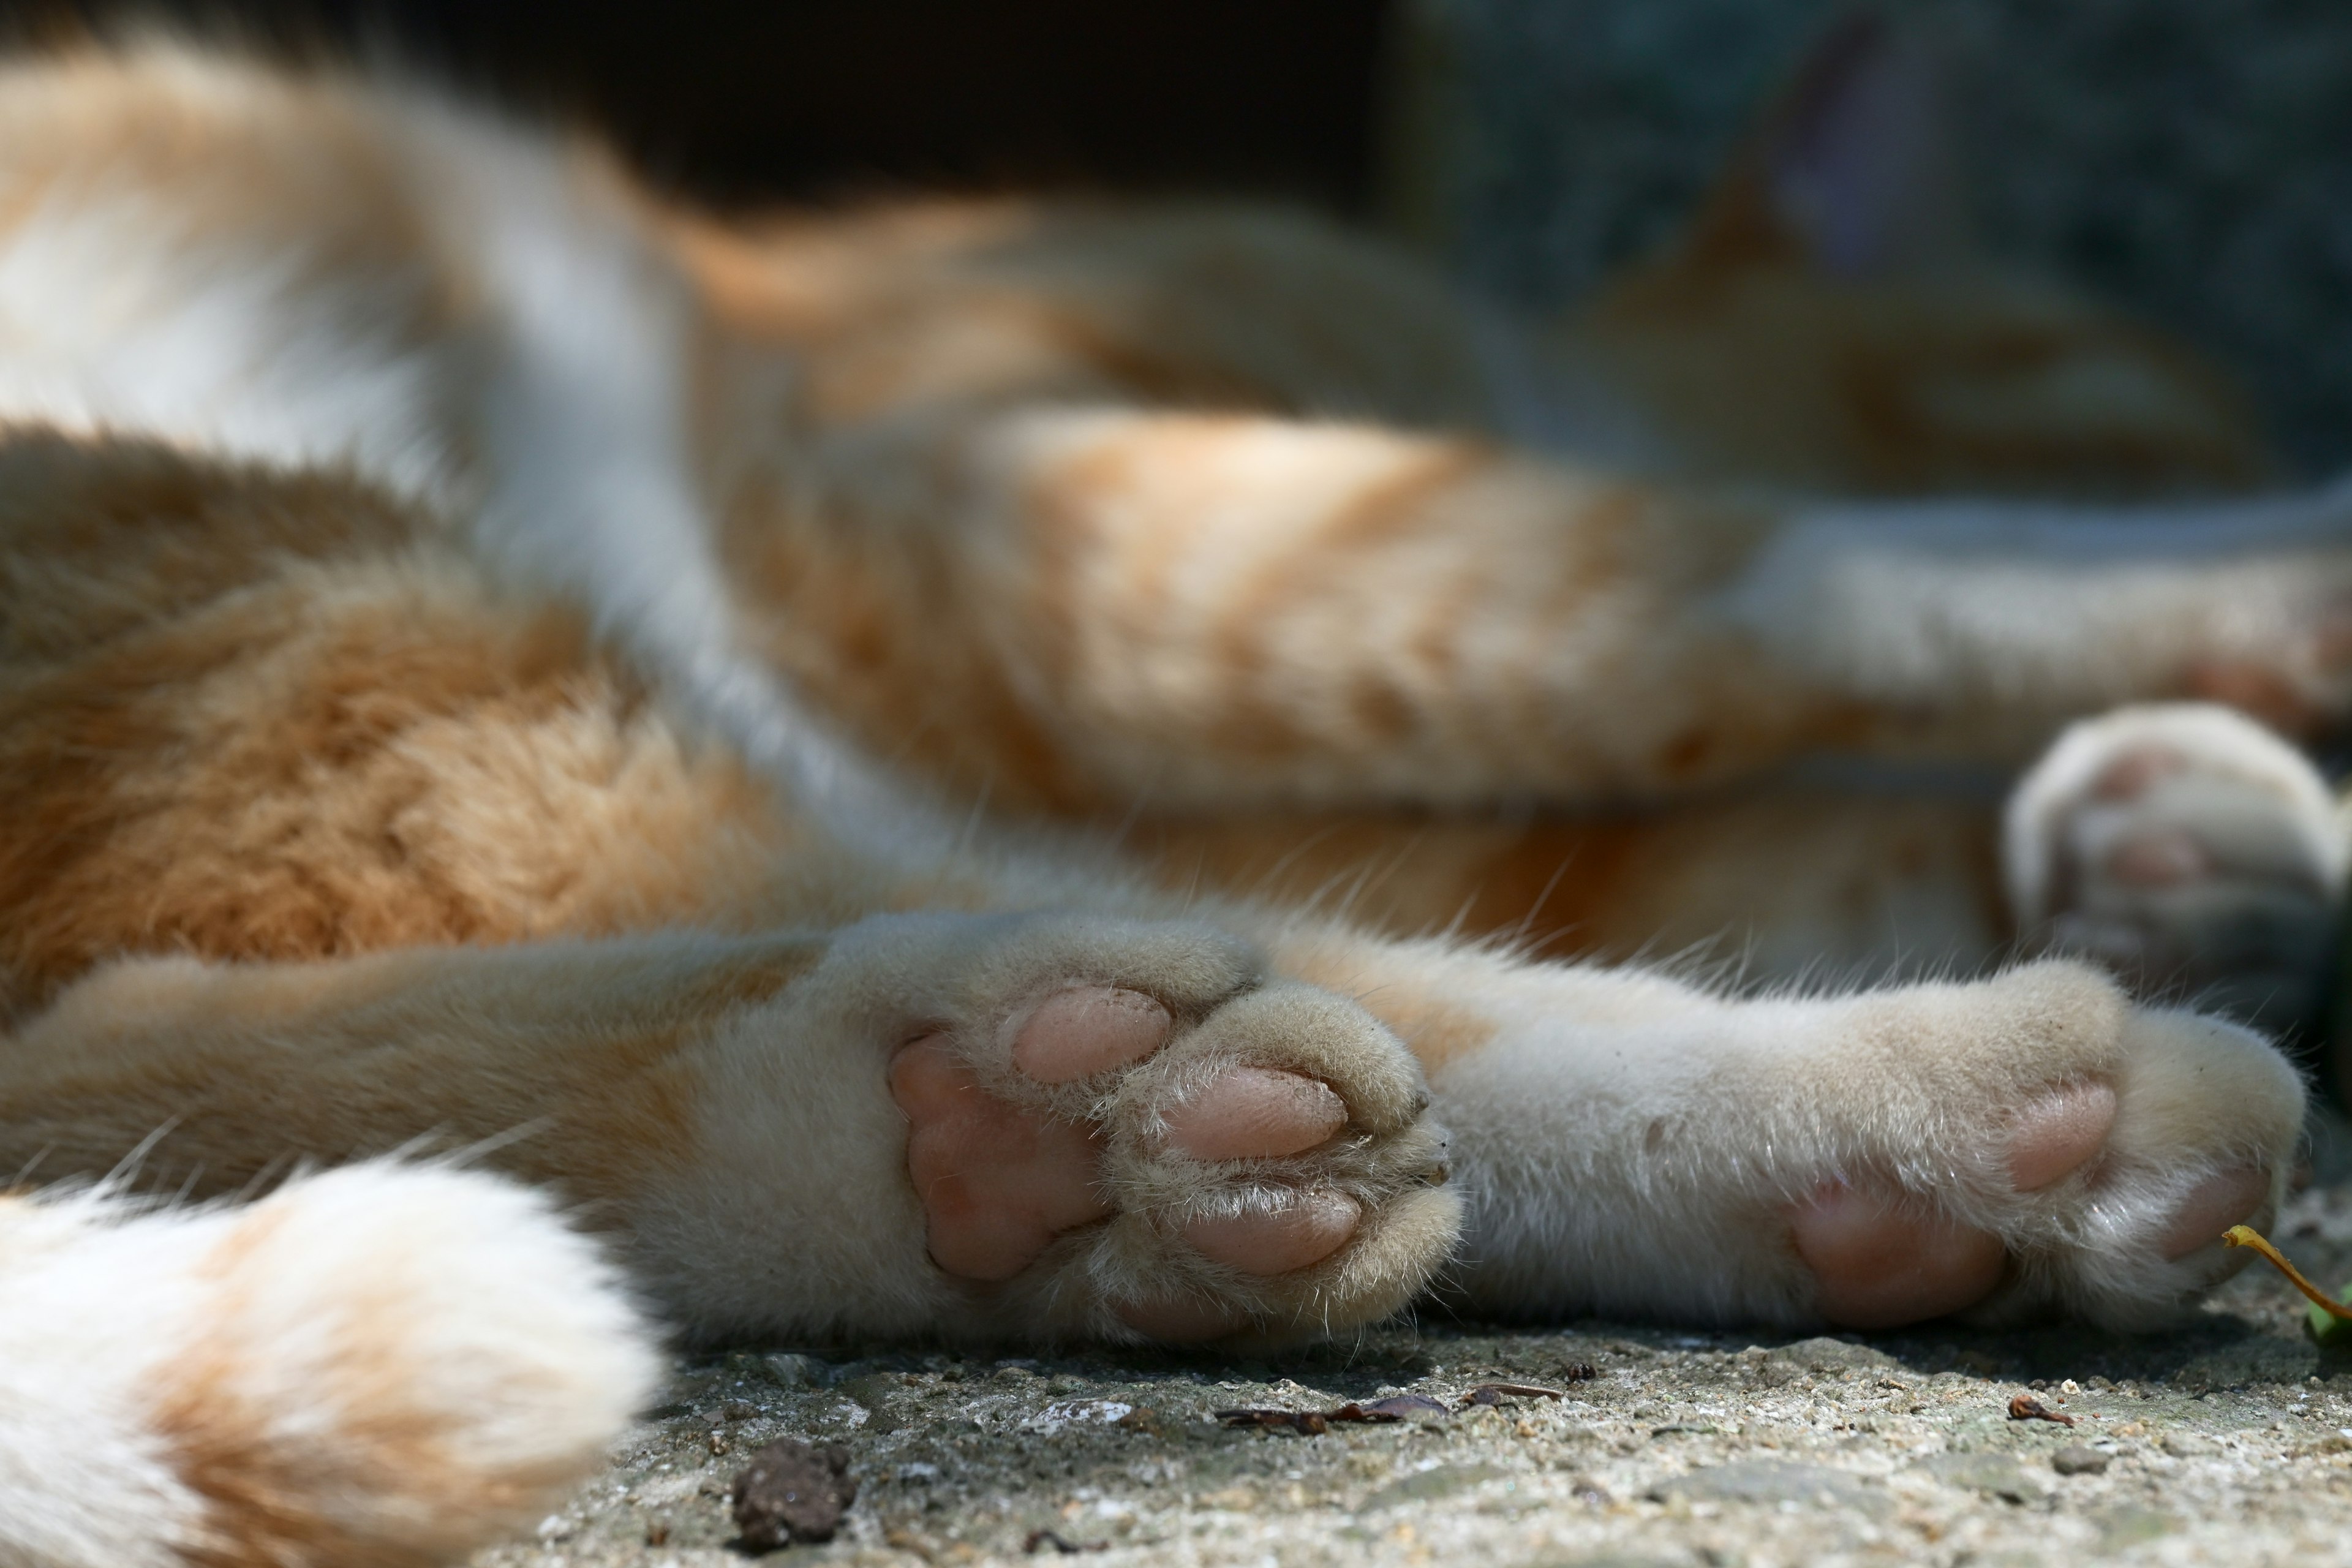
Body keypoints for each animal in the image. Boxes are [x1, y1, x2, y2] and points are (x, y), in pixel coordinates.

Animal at [4, 34, 2333, 1568]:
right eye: (2146, 423)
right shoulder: (1015, 506)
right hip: (266, 556)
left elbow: (1745, 794)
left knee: (137, 1051)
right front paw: (2282, 590)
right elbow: (1743, 575)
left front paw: (2190, 831)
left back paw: (1047, 1162)